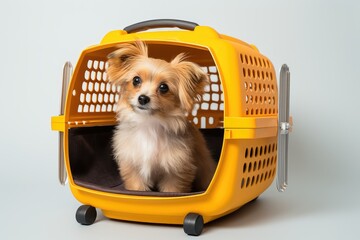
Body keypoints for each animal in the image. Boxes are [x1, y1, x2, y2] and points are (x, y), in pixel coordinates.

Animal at [105, 40, 215, 192]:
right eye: (136, 80)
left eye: (164, 87)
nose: (143, 98)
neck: (148, 123)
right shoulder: (134, 168)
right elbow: (137, 188)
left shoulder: (176, 172)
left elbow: (172, 191)